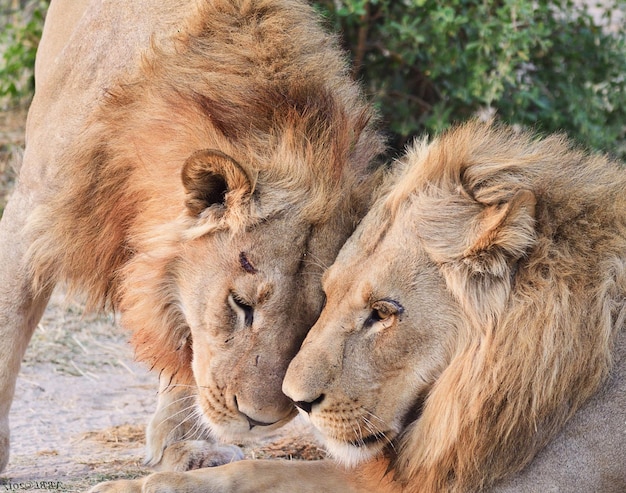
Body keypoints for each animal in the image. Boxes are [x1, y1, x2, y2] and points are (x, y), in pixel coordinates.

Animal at [0, 0, 380, 476]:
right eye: (241, 305)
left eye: (317, 318)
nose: (260, 420)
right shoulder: (31, 213)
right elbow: (8, 325)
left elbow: (189, 352)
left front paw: (188, 448)